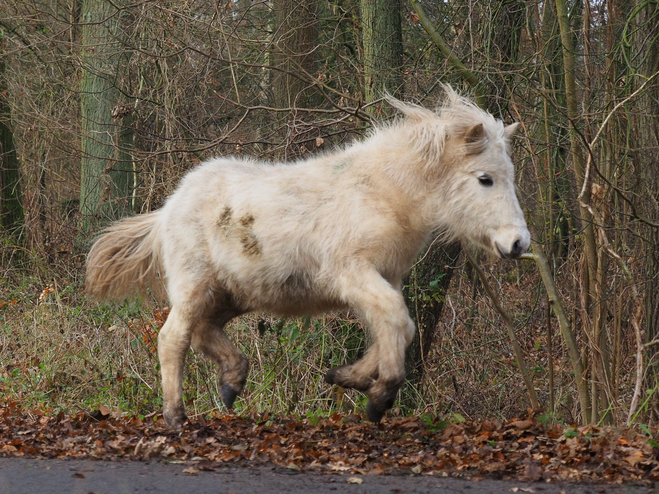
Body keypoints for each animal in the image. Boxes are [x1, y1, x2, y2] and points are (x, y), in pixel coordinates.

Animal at [86, 87, 532, 426]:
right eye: (485, 179)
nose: (518, 243)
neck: (383, 193)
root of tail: (167, 208)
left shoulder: (385, 277)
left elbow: (399, 327)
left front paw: (348, 377)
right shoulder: (354, 273)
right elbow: (396, 320)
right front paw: (379, 397)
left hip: (231, 294)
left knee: (202, 332)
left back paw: (232, 382)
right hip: (194, 286)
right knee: (173, 338)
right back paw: (176, 415)